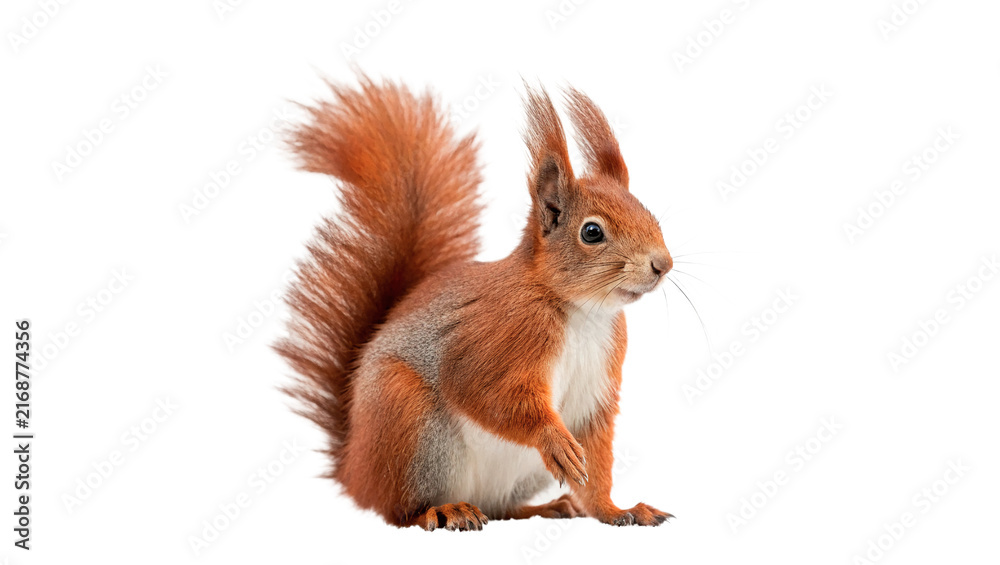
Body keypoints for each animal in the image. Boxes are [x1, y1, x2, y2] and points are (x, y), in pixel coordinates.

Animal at [276, 76, 673, 531]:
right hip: (411, 425)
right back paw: (443, 510)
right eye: (592, 232)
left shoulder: (595, 396)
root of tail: (353, 469)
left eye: (651, 216)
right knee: (400, 511)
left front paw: (618, 511)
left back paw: (544, 507)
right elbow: (482, 391)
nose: (663, 264)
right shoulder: (499, 336)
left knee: (501, 508)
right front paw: (552, 439)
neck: (581, 312)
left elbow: (595, 462)